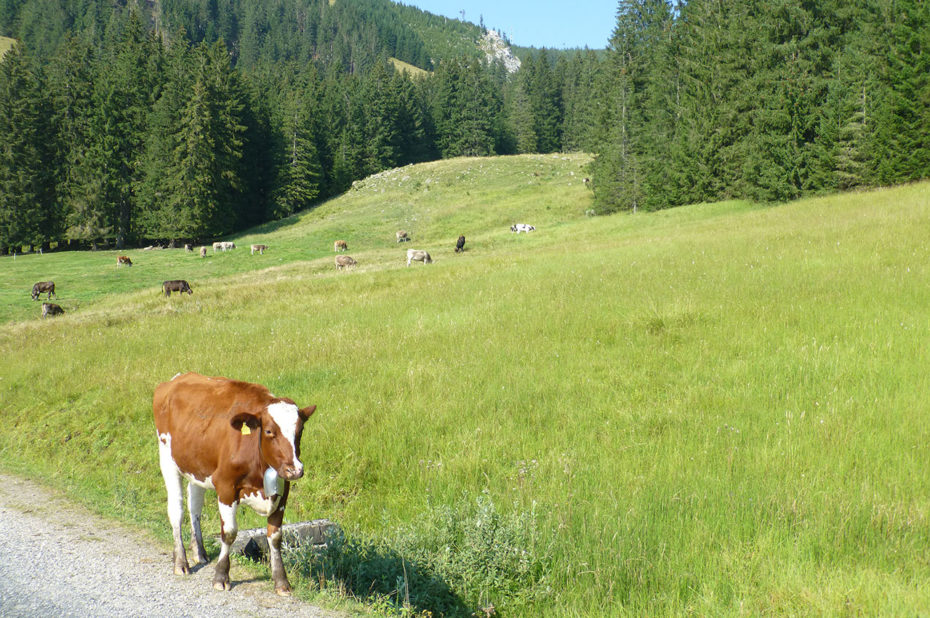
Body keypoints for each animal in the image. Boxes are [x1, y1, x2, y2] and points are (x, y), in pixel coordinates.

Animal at [150, 370, 314, 592]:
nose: (295, 469)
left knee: (195, 507)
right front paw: (221, 576)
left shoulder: (283, 490)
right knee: (177, 511)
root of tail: (176, 379)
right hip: (167, 459)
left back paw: (199, 552)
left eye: (300, 431)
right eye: (269, 431)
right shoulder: (226, 487)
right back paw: (181, 562)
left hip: (197, 468)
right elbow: (228, 533)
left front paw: (281, 581)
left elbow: (275, 536)